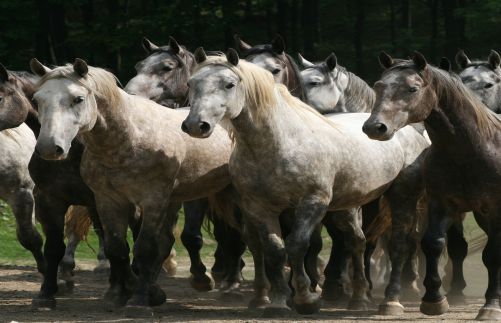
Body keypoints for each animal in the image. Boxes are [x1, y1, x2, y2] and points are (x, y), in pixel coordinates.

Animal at [362, 52, 500, 320]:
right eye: (379, 86)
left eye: (412, 89)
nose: (375, 127)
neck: (471, 150)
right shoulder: (442, 204)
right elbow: (433, 244)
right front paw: (434, 299)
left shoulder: (495, 208)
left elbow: (493, 254)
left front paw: (491, 305)